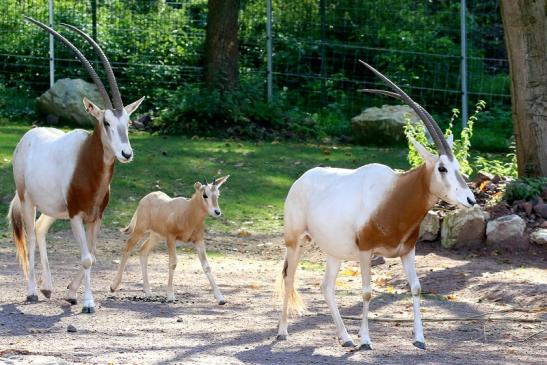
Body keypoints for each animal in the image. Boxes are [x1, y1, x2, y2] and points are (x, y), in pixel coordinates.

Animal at [276, 61, 478, 350]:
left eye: (458, 166)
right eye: (442, 168)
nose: (471, 199)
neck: (393, 196)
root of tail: (301, 180)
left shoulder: (407, 251)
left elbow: (416, 288)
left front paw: (419, 339)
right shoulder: (365, 250)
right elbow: (367, 292)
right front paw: (366, 341)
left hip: (334, 251)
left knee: (326, 286)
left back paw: (345, 337)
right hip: (295, 241)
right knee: (289, 278)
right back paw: (283, 332)